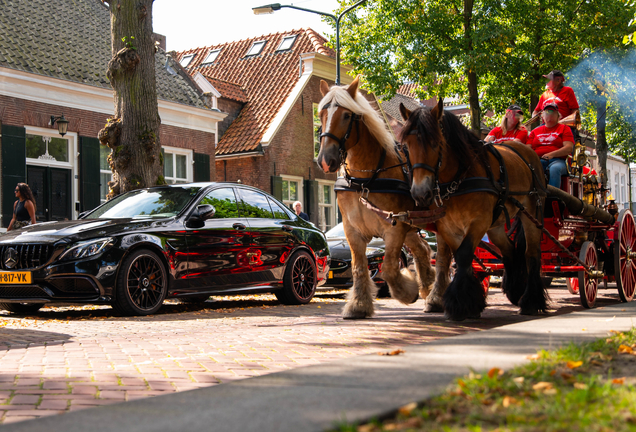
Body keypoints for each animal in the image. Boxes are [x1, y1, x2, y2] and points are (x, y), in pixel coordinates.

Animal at [316, 77, 434, 318]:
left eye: (346, 115)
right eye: (322, 114)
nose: (325, 160)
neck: (365, 180)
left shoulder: (394, 228)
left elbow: (388, 269)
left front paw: (408, 291)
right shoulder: (353, 230)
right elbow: (358, 268)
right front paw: (358, 305)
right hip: (411, 228)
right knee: (423, 250)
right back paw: (428, 287)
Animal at [400, 99, 548, 318]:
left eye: (436, 143)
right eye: (406, 146)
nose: (420, 193)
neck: (458, 179)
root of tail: (528, 153)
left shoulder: (478, 222)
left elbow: (463, 255)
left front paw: (459, 303)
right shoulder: (448, 226)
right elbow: (462, 258)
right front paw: (471, 302)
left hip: (532, 212)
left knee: (531, 253)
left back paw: (531, 301)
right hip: (496, 225)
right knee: (510, 251)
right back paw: (515, 290)